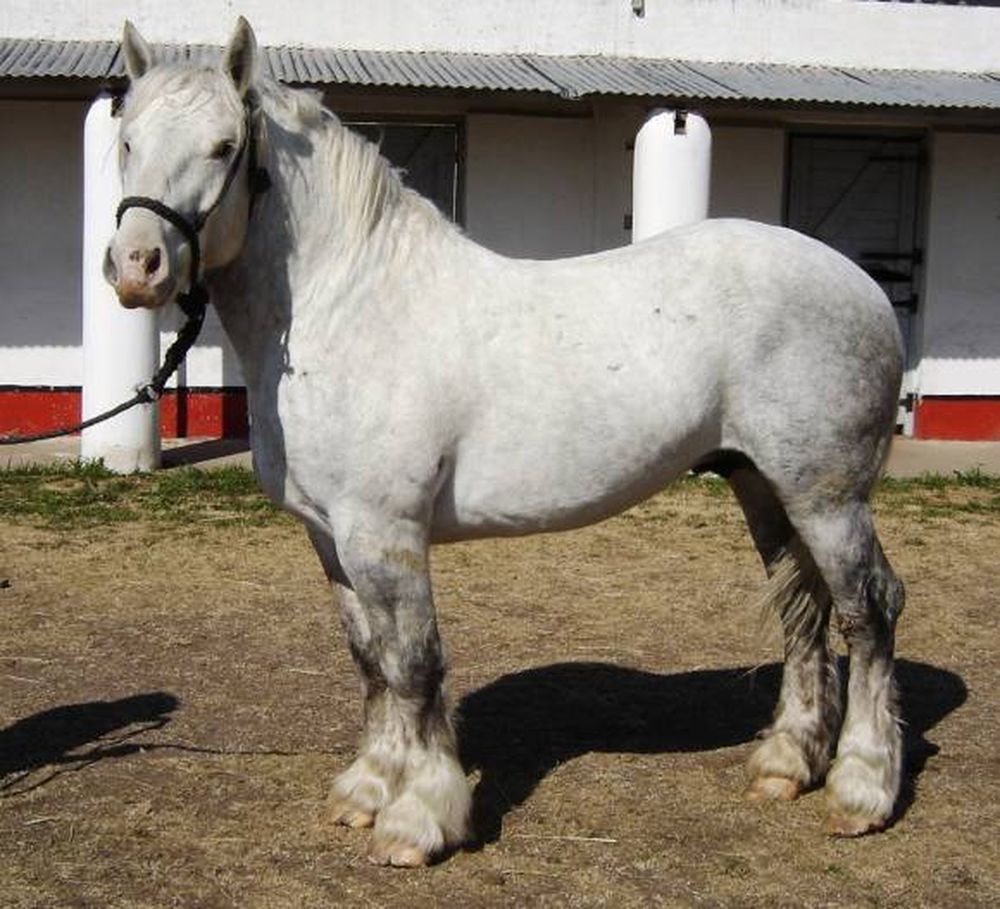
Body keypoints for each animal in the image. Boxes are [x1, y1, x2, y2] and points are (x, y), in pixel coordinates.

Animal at [104, 18, 906, 867]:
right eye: (126, 139)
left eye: (224, 146)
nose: (136, 266)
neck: (349, 303)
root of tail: (861, 284)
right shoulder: (332, 538)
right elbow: (372, 661)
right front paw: (366, 789)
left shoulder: (385, 534)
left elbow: (415, 664)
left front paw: (418, 818)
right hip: (764, 486)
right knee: (803, 610)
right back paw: (786, 764)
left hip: (828, 498)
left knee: (869, 611)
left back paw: (862, 789)